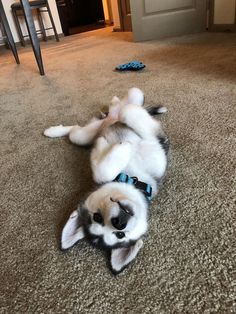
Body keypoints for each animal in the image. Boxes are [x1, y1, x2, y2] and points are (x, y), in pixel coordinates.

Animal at [44, 87, 170, 274]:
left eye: (120, 234)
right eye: (97, 218)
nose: (119, 223)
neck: (131, 178)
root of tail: (108, 117)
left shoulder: (157, 156)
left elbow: (128, 113)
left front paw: (115, 141)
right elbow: (101, 172)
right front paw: (117, 147)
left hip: (134, 96)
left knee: (128, 103)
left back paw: (115, 104)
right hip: (87, 135)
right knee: (76, 131)